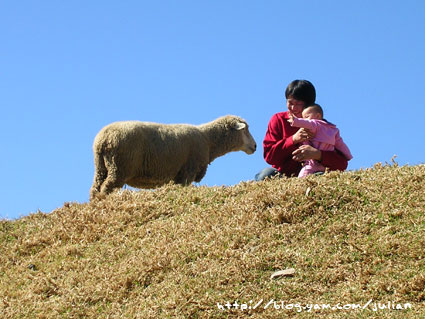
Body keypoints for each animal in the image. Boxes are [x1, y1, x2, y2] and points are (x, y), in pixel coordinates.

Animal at [89, 115, 255, 200]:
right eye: (245, 130)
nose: (255, 146)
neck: (208, 140)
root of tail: (103, 139)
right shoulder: (187, 172)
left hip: (102, 167)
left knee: (95, 189)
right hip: (119, 167)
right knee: (106, 188)